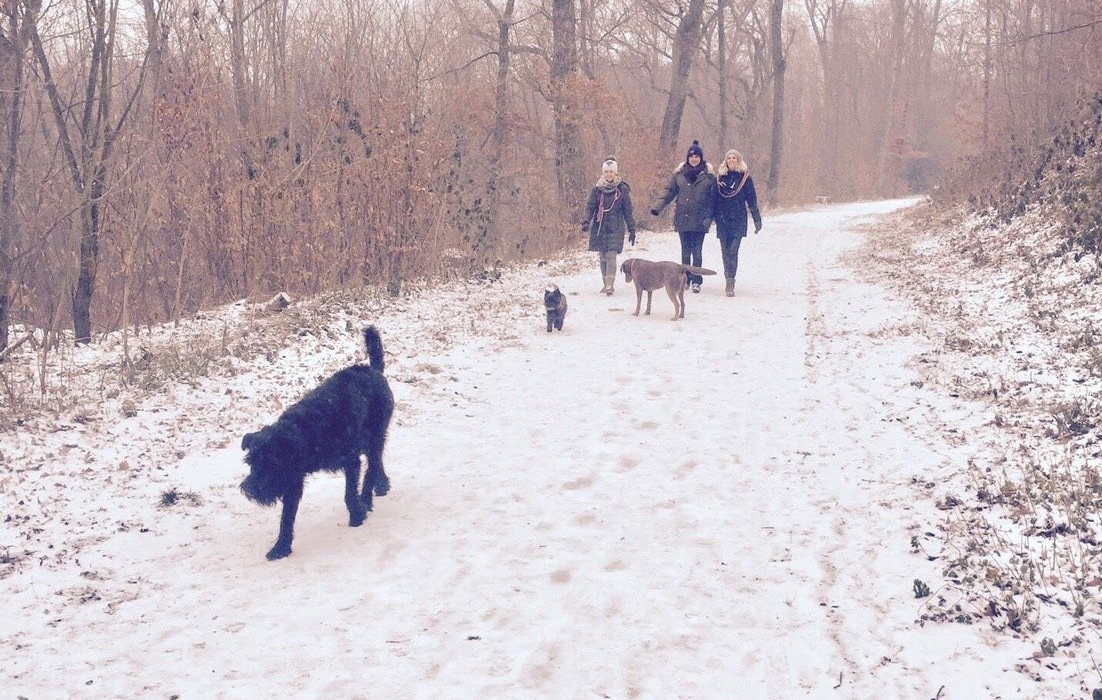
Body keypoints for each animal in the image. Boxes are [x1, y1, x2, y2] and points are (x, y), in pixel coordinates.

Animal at [239, 326, 394, 562]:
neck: (307, 431)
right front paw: (281, 548)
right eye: (251, 462)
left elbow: (349, 494)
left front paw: (357, 516)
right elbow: (286, 518)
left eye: (271, 464)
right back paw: (382, 485)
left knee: (373, 466)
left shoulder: (350, 461)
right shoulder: (292, 481)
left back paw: (367, 498)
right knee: (376, 462)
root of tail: (373, 370)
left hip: (375, 435)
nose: (249, 489)